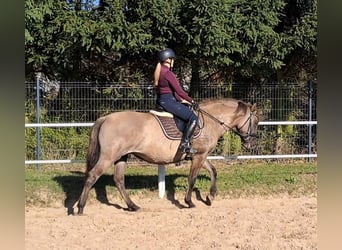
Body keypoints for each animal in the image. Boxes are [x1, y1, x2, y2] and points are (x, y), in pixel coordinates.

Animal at [76, 97, 260, 215]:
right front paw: (189, 202)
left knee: (119, 180)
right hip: (109, 157)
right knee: (92, 176)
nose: (251, 144)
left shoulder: (201, 155)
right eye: (256, 121)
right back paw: (80, 208)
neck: (209, 122)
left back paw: (133, 206)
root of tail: (106, 118)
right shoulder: (199, 156)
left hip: (122, 157)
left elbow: (213, 171)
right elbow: (192, 179)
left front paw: (210, 197)